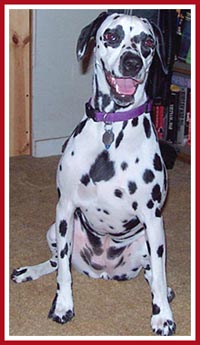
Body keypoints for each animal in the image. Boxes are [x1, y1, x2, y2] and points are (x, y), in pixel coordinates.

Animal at [11, 12, 176, 334]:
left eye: (148, 43)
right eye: (111, 36)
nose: (131, 62)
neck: (113, 128)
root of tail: (104, 271)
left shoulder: (153, 219)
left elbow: (160, 278)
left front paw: (162, 315)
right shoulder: (65, 208)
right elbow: (63, 270)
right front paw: (63, 305)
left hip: (150, 241)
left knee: (152, 272)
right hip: (55, 228)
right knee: (55, 261)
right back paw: (29, 271)